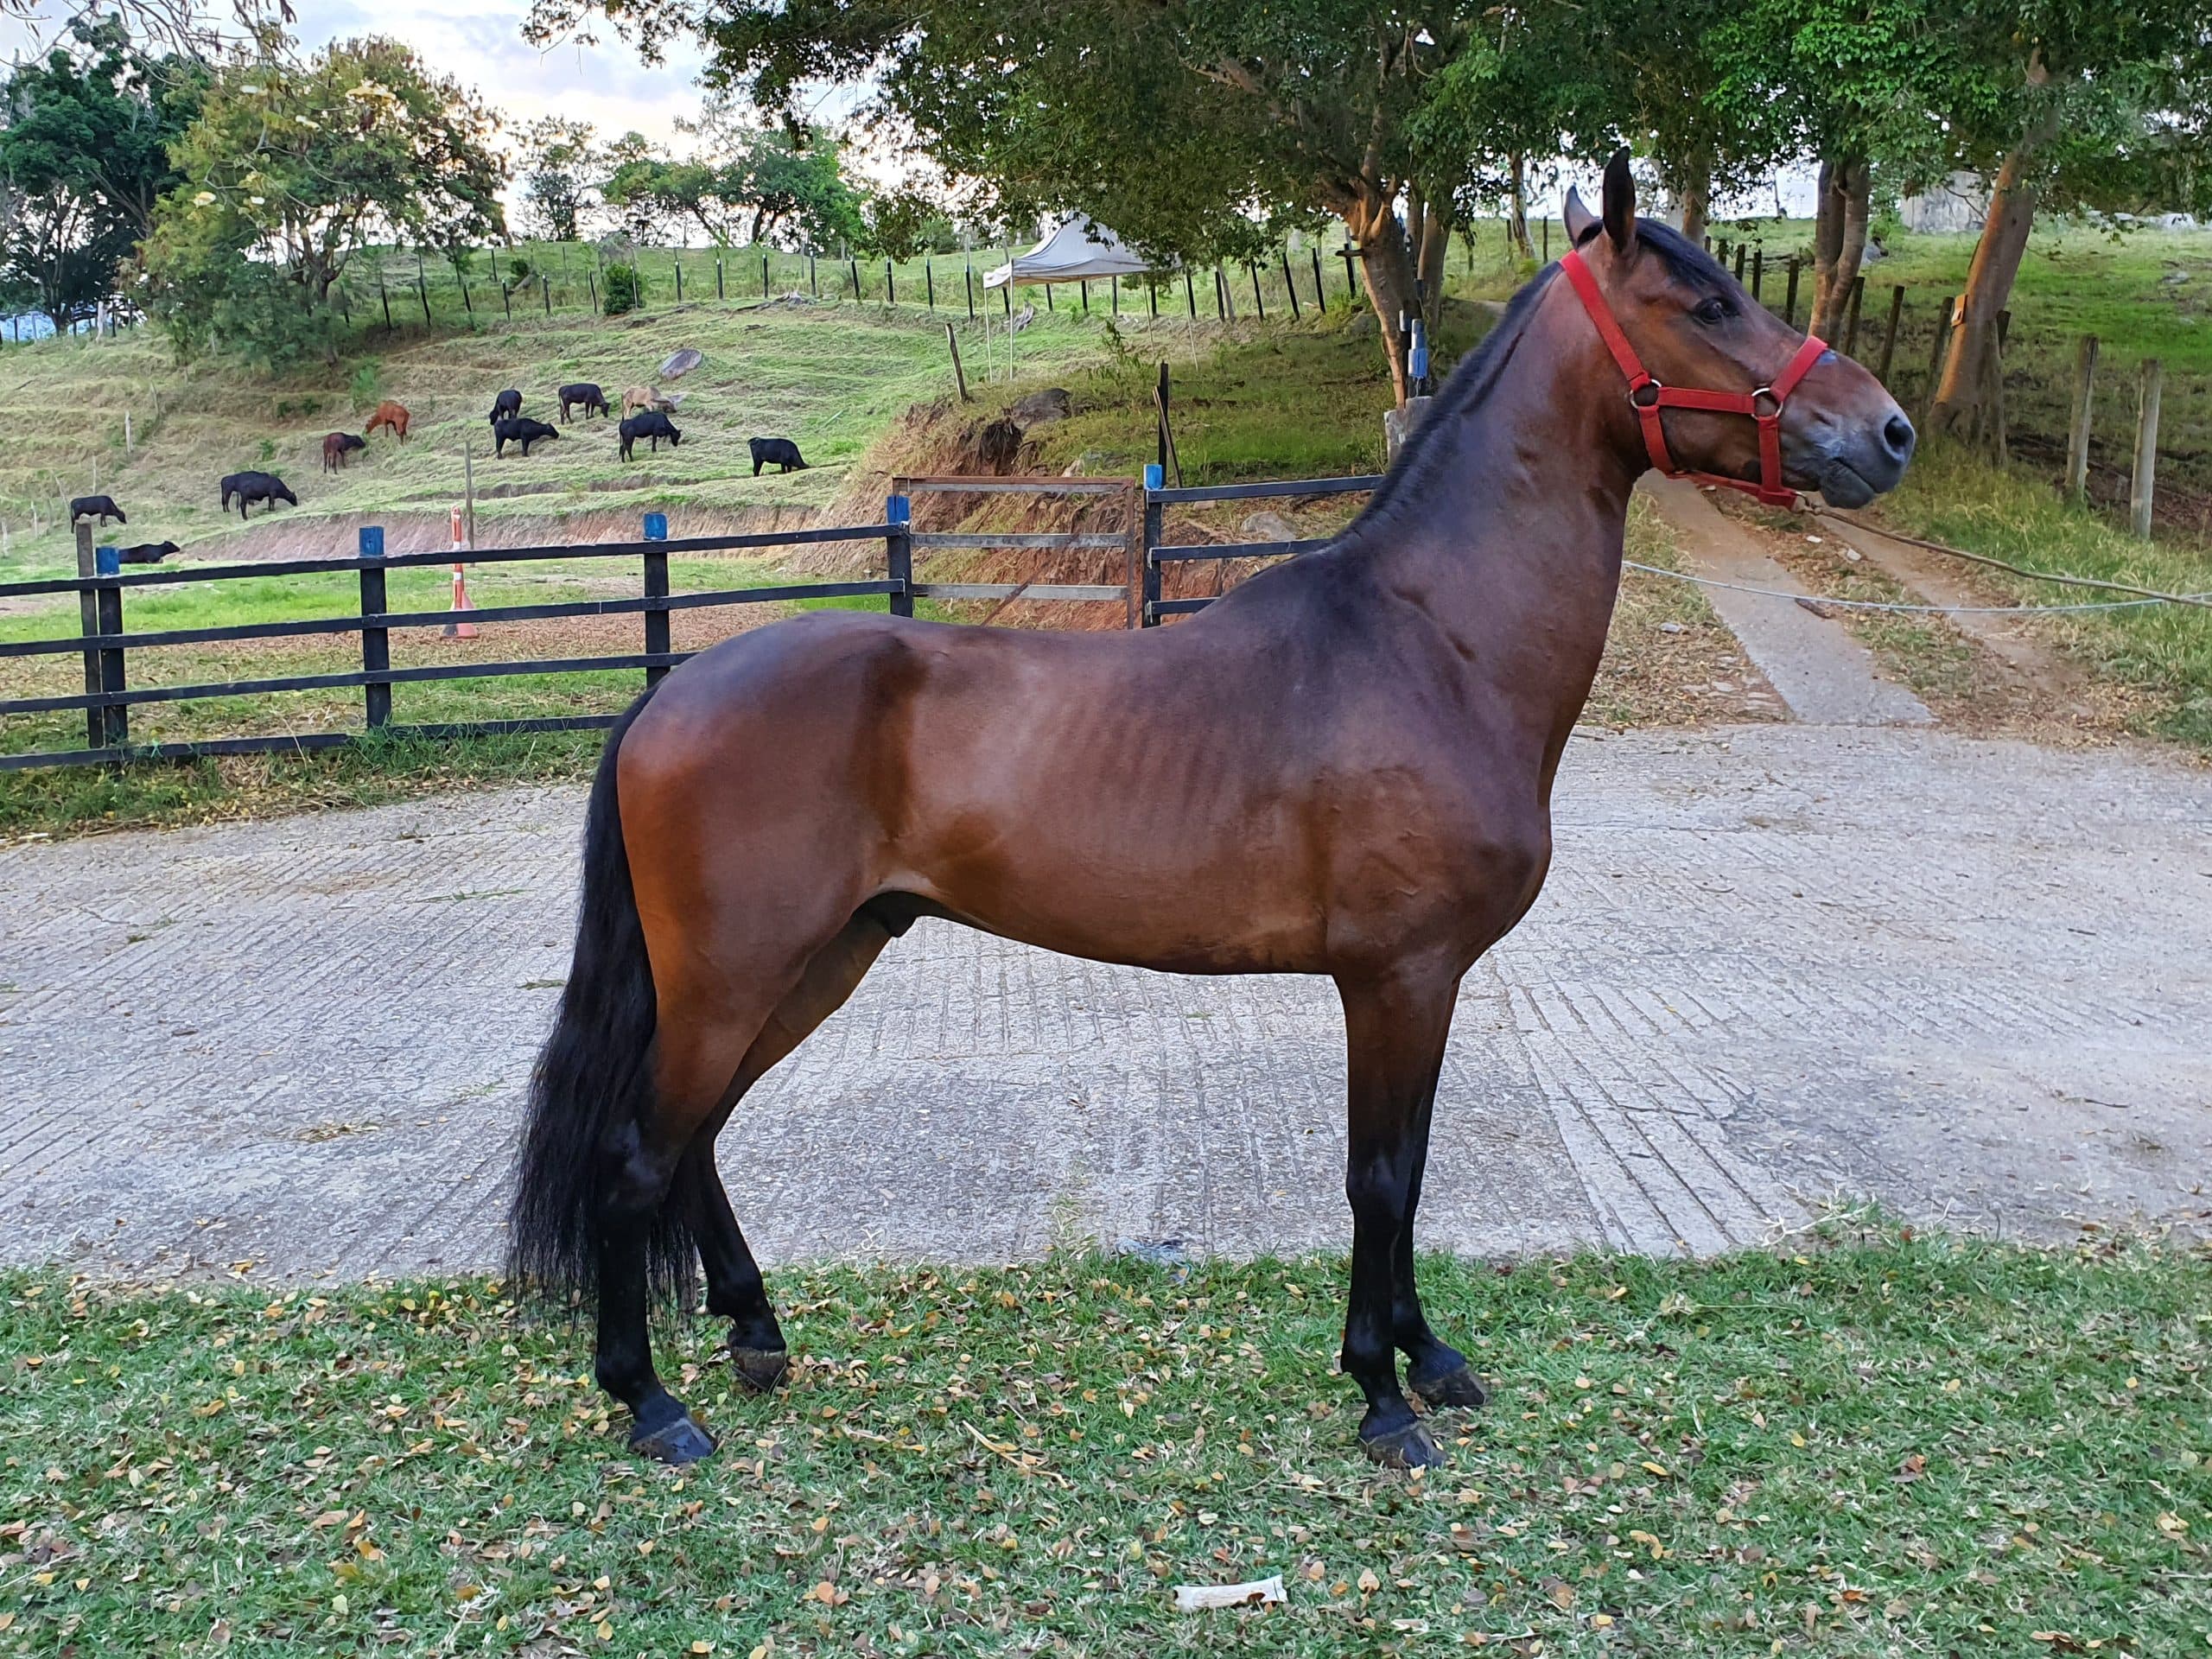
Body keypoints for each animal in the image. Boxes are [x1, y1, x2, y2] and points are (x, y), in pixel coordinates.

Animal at [506, 154, 1916, 1470]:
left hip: (821, 959)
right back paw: (648, 1401)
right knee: (638, 1158)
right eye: (1709, 303)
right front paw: (1382, 1398)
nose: (1890, 433)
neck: (1433, 645)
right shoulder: (1396, 977)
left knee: (696, 1141)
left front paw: (1429, 1357)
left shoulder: (1429, 981)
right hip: (739, 977)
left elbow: (1410, 1173)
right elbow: (1378, 1179)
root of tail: (669, 696)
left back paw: (754, 1332)